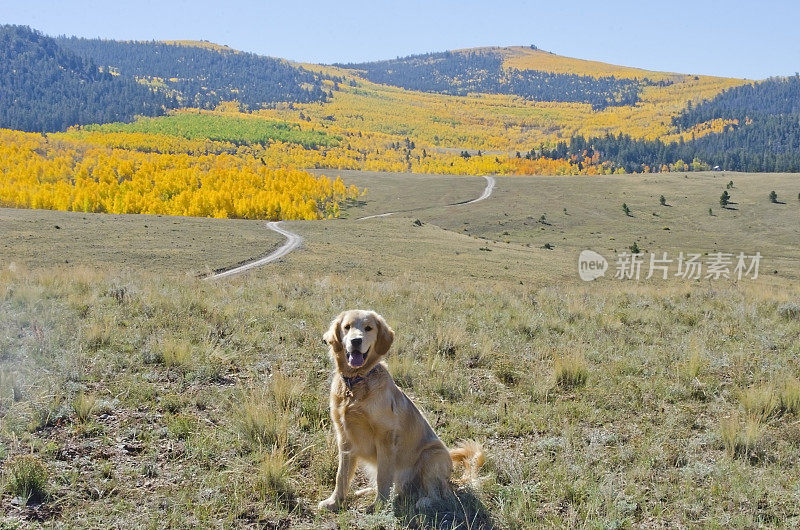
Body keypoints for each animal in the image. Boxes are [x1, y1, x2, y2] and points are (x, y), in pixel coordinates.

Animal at [320, 308, 484, 510]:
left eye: (368, 328)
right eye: (347, 327)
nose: (356, 341)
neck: (356, 382)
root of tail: (452, 482)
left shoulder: (385, 438)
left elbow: (383, 477)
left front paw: (379, 506)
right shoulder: (344, 438)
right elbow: (341, 476)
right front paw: (334, 501)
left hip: (431, 456)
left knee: (436, 493)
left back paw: (423, 501)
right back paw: (365, 491)